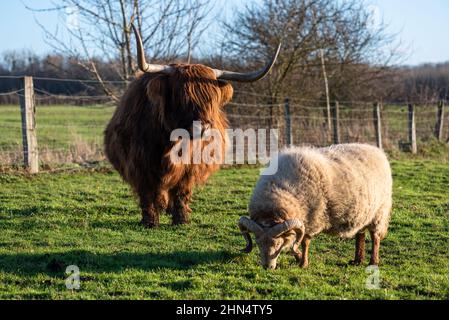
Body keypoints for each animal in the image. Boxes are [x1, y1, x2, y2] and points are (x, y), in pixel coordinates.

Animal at [105, 26, 280, 229]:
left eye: (212, 99)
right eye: (181, 96)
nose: (202, 128)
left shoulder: (191, 167)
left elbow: (182, 192)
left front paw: (181, 220)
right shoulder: (140, 164)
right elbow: (147, 194)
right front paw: (149, 221)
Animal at [238, 144, 392, 268]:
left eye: (277, 244)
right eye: (257, 243)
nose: (267, 267)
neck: (280, 190)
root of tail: (376, 150)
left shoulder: (311, 218)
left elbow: (304, 242)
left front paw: (303, 263)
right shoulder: (301, 221)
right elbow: (295, 242)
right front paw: (298, 256)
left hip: (379, 212)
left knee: (375, 237)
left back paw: (373, 262)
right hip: (362, 212)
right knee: (360, 233)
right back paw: (357, 260)